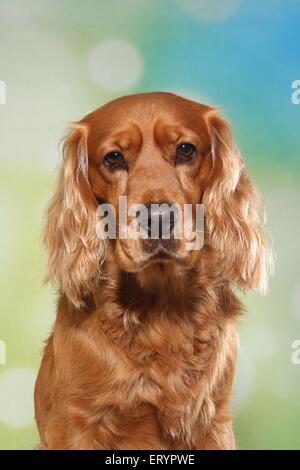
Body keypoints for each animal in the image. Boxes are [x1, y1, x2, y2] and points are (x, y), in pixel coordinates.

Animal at [34, 91, 272, 448]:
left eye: (186, 150)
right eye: (113, 158)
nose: (158, 217)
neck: (161, 308)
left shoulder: (213, 419)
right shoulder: (77, 422)